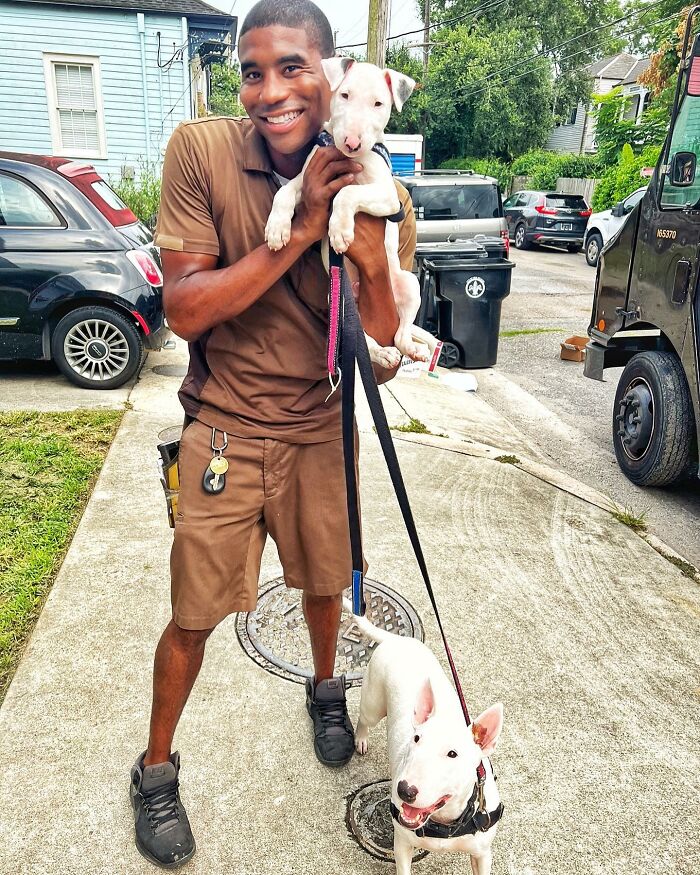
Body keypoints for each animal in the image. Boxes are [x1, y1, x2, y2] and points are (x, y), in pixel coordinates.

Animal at [266, 55, 440, 370]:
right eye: (344, 95)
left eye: (378, 104)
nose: (352, 143)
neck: (346, 159)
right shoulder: (307, 180)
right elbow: (283, 193)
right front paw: (276, 229)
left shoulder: (387, 196)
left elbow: (346, 193)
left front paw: (340, 229)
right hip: (339, 304)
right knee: (365, 338)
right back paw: (382, 353)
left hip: (409, 284)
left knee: (400, 334)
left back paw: (412, 349)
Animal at [344, 600, 504, 875]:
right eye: (416, 739)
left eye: (453, 754)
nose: (404, 790)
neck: (444, 822)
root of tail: (397, 639)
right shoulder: (402, 844)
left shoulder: (482, 854)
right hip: (373, 702)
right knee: (364, 720)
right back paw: (361, 739)